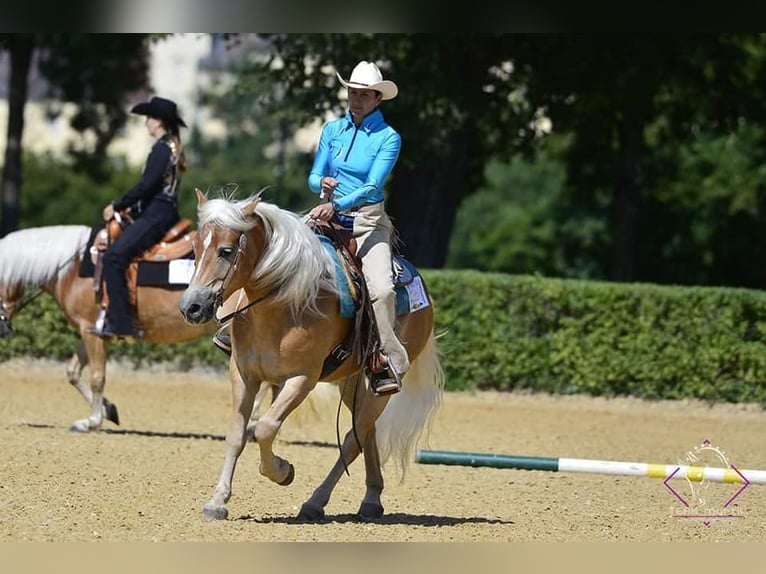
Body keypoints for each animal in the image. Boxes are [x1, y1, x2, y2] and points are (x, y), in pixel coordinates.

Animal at [0, 224, 219, 432]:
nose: (2, 328)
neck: (71, 271)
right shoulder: (92, 331)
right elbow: (73, 372)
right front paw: (109, 411)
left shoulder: (91, 332)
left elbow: (97, 378)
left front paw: (92, 421)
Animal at [179, 191, 444, 524]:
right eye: (196, 248)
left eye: (226, 251)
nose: (191, 307)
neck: (283, 303)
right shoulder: (243, 374)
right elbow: (237, 434)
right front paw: (217, 501)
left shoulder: (302, 379)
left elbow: (265, 428)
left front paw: (282, 471)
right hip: (351, 382)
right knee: (365, 430)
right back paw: (371, 499)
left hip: (383, 384)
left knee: (353, 437)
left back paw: (315, 502)